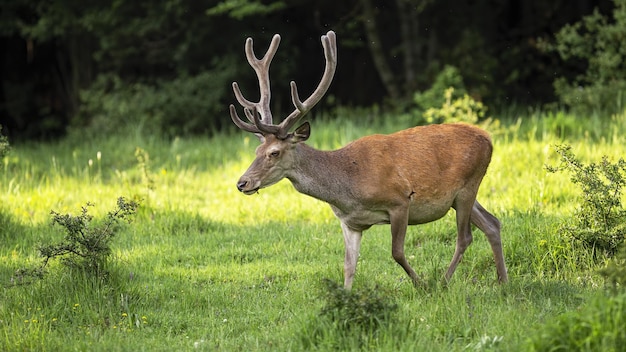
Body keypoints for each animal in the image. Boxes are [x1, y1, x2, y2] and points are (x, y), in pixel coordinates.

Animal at [227, 30, 504, 288]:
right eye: (256, 152)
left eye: (274, 152)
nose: (242, 183)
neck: (348, 190)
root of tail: (489, 139)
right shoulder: (350, 223)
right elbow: (349, 266)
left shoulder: (399, 201)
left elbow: (397, 253)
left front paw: (421, 284)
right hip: (460, 196)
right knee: (492, 223)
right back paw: (503, 282)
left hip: (469, 185)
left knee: (465, 236)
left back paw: (443, 282)